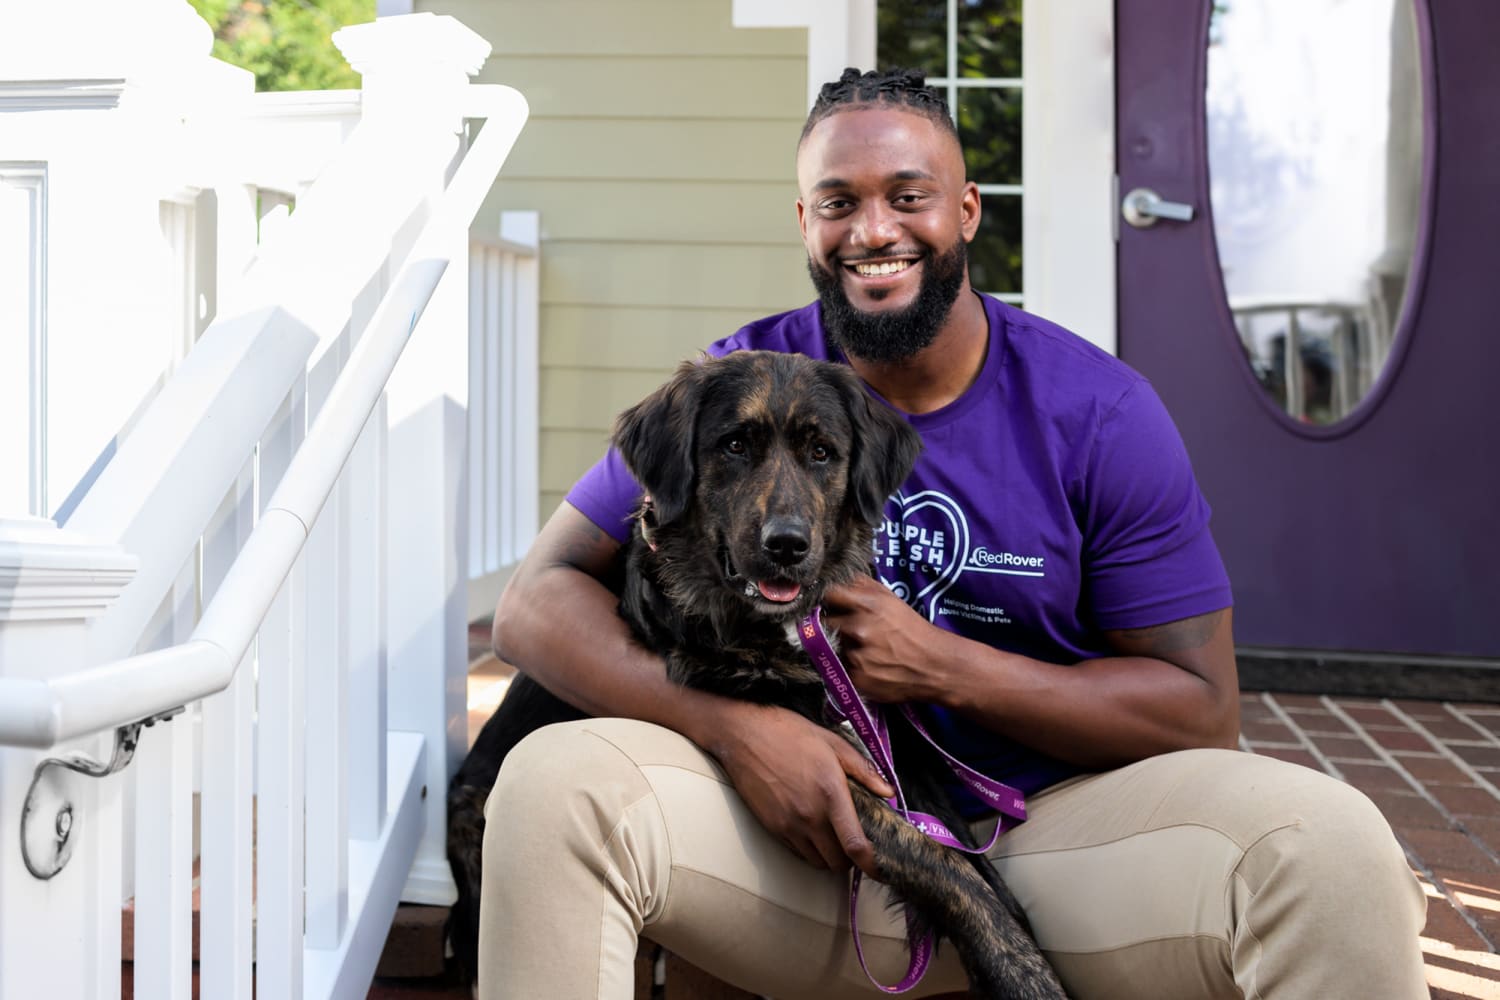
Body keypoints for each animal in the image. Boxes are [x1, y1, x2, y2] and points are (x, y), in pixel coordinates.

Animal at [444, 352, 1068, 1000]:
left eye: (821, 452)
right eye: (735, 444)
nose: (786, 546)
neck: (786, 627)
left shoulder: (891, 738)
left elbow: (966, 848)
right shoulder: (831, 760)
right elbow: (941, 863)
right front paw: (1021, 972)